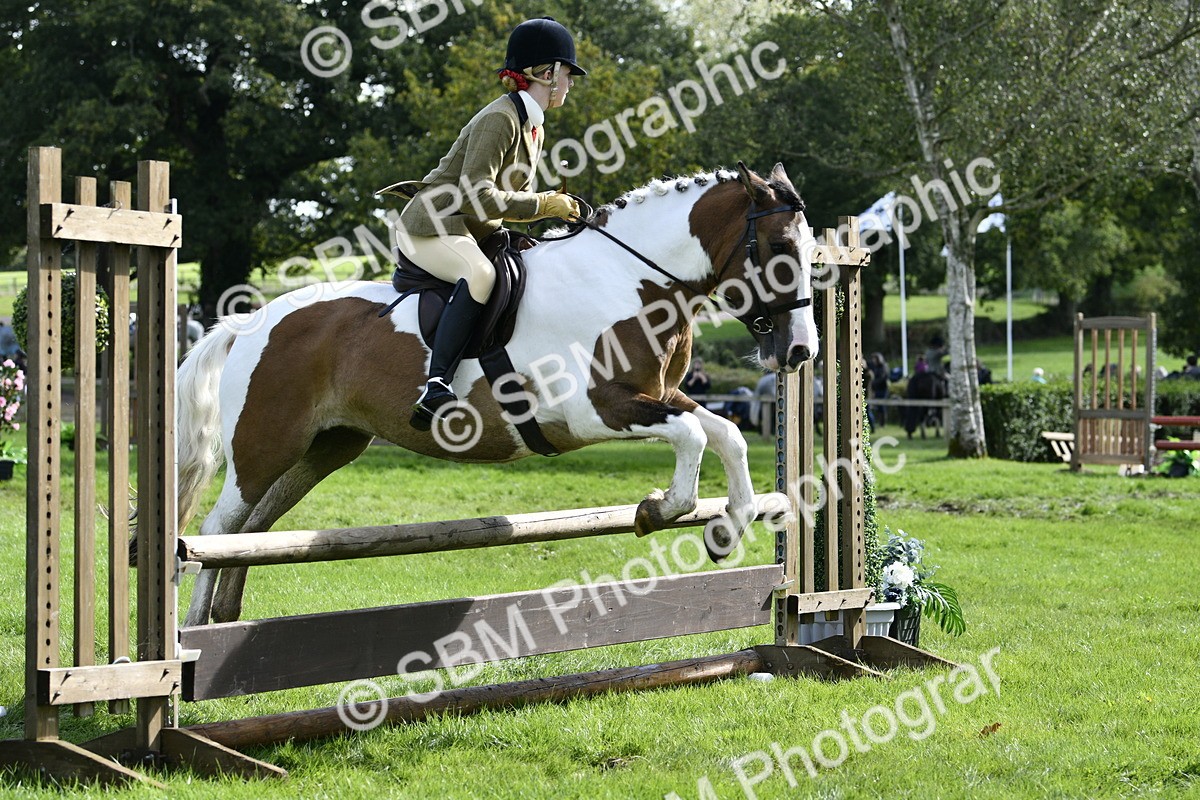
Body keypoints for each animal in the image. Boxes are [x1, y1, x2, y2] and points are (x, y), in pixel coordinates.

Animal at [177, 162, 818, 626]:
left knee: (254, 528)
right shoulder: (595, 410)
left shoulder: (657, 395)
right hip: (264, 447)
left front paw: (726, 530)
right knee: (218, 530)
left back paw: (224, 618)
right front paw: (658, 509)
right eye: (779, 250)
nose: (800, 353)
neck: (631, 282)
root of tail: (249, 321)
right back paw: (194, 633)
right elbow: (690, 436)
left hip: (326, 446)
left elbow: (726, 434)